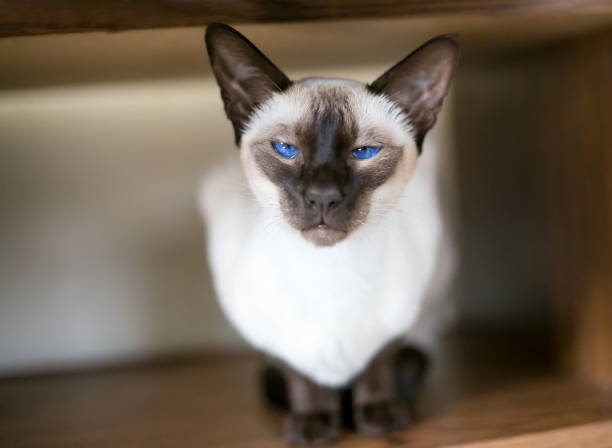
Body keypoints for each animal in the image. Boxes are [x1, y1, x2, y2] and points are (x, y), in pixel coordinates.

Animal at [201, 23, 460, 444]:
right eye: (286, 149)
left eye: (365, 152)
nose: (323, 197)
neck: (330, 273)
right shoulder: (270, 332)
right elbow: (301, 374)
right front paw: (314, 425)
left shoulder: (405, 314)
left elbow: (379, 363)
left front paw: (378, 418)